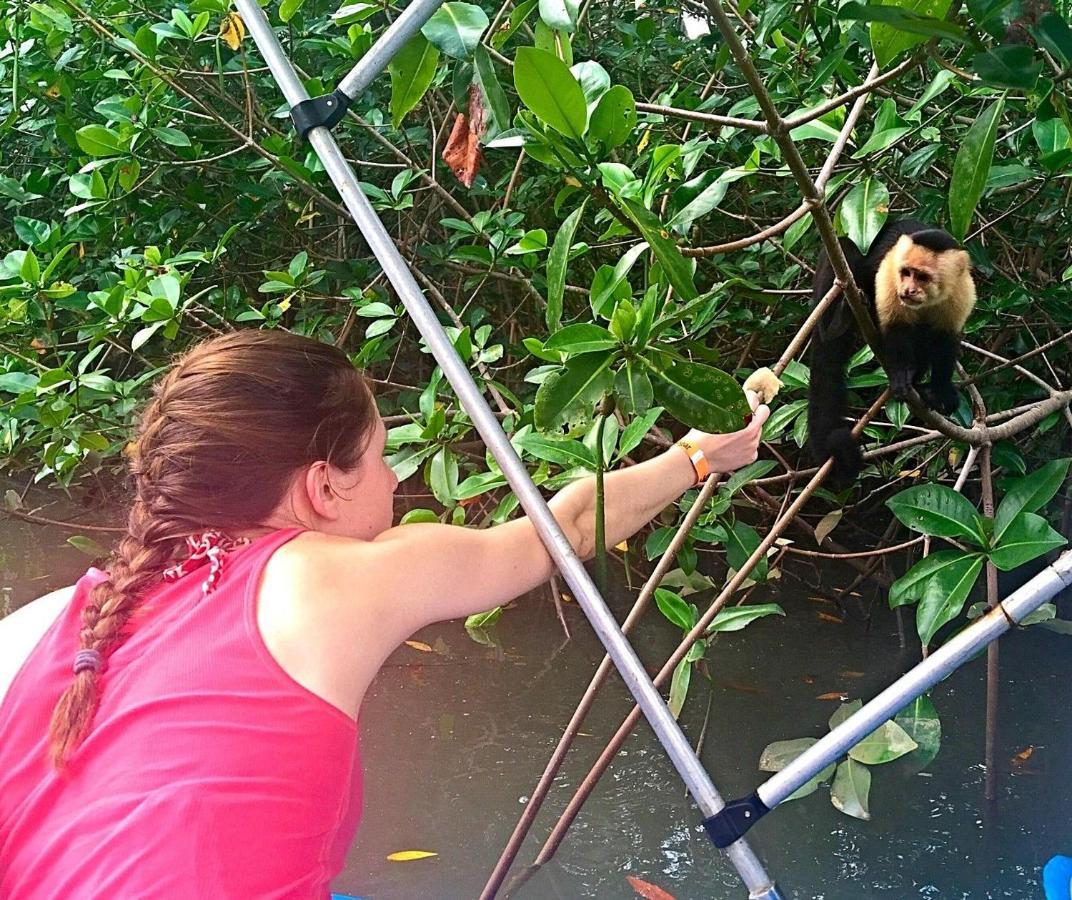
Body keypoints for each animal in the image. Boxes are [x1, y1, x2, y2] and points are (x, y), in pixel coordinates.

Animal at [806, 218, 977, 484]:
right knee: (846, 251)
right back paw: (836, 324)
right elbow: (897, 330)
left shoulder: (962, 290)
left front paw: (940, 391)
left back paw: (920, 387)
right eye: (906, 273)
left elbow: (945, 341)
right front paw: (900, 376)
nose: (907, 290)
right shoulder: (890, 272)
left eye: (922, 277)